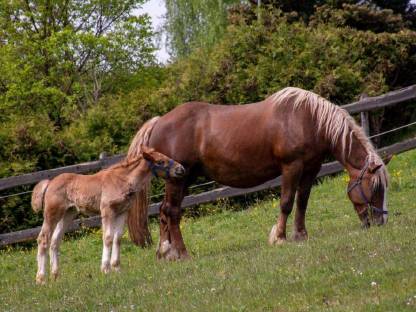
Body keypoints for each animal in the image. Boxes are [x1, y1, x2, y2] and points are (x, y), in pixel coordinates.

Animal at [30, 145, 184, 284]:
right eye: (160, 161)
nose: (180, 169)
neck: (123, 181)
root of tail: (49, 183)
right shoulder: (107, 211)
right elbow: (108, 237)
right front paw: (105, 269)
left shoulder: (122, 212)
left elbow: (118, 238)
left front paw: (116, 268)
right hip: (52, 213)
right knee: (43, 238)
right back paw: (41, 279)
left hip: (68, 214)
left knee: (55, 241)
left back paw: (55, 276)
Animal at [127, 86, 390, 260]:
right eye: (375, 187)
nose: (379, 222)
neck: (308, 119)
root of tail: (159, 121)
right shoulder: (291, 167)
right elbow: (286, 202)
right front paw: (280, 237)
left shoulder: (311, 168)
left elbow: (302, 202)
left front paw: (301, 235)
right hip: (177, 179)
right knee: (171, 212)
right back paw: (181, 253)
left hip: (184, 179)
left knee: (165, 211)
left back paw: (165, 252)